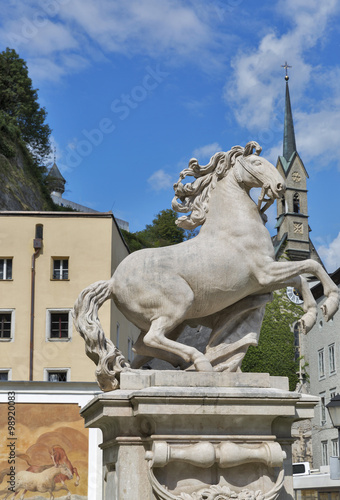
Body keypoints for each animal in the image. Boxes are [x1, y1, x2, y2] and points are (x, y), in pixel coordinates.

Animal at [73, 141, 338, 390]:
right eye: (256, 163)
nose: (280, 187)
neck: (234, 223)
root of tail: (112, 282)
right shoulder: (265, 273)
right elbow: (310, 268)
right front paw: (330, 304)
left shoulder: (264, 280)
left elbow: (301, 278)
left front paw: (309, 318)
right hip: (178, 304)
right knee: (152, 338)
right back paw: (199, 362)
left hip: (174, 321)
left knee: (141, 347)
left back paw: (174, 366)